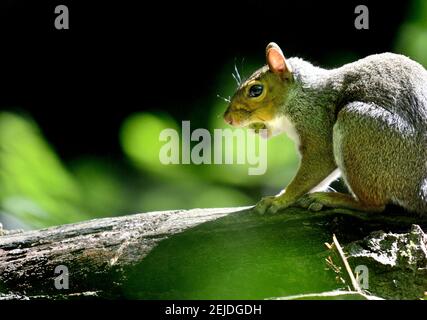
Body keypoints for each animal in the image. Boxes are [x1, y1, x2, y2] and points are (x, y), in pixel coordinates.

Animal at [224, 42, 427, 215]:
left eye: (256, 90)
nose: (227, 118)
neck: (300, 95)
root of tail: (419, 188)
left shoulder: (317, 125)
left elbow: (314, 168)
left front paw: (279, 200)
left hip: (358, 127)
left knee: (374, 205)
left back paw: (332, 199)